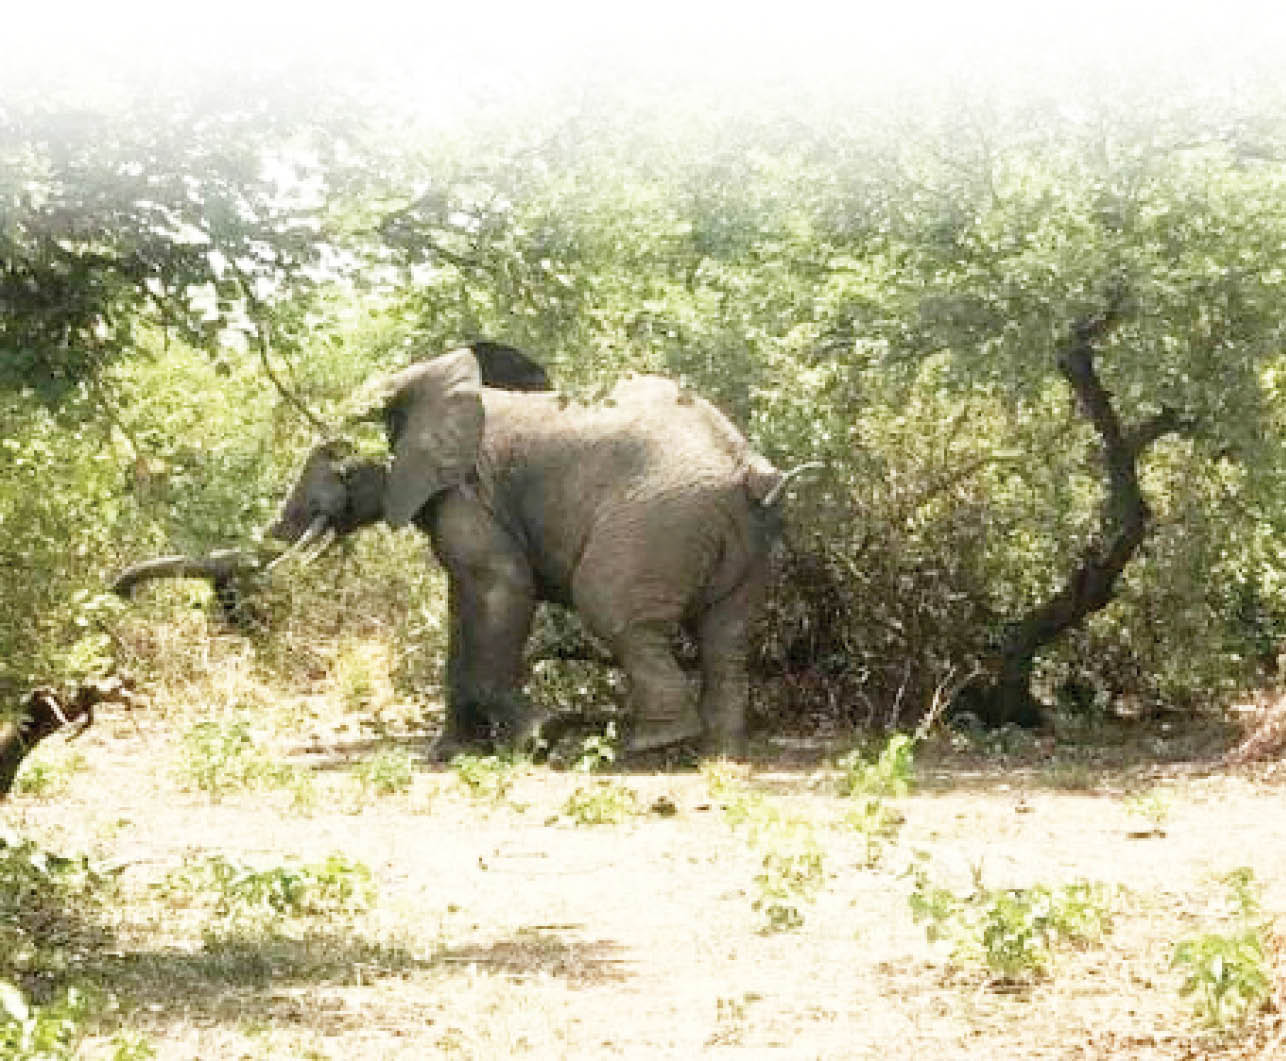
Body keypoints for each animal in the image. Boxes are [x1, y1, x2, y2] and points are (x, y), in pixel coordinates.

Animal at [266, 344, 797, 756]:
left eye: (334, 458)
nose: (275, 529)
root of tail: (747, 468)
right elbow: (462, 606)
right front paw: (449, 754)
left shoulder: (466, 492)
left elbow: (500, 588)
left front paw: (539, 737)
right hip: (742, 539)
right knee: (726, 635)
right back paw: (719, 753)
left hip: (660, 519)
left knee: (611, 608)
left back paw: (648, 744)